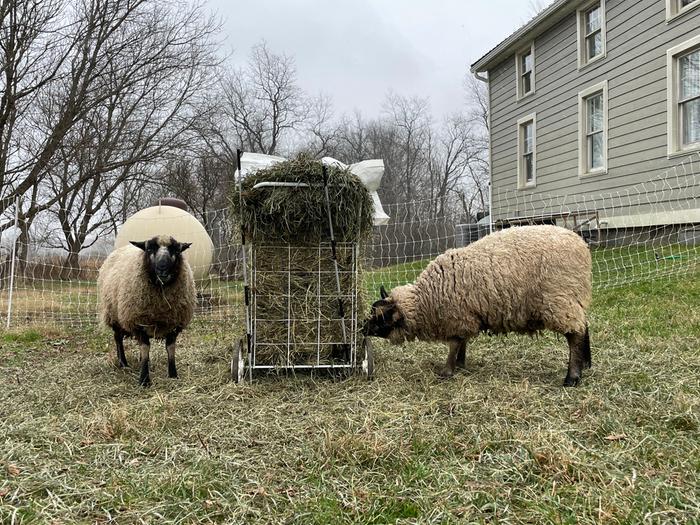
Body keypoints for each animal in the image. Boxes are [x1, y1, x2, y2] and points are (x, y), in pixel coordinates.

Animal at [97, 235, 196, 386]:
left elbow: (170, 349)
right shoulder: (138, 321)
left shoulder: (174, 323)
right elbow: (145, 348)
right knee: (118, 339)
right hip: (114, 315)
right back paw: (123, 363)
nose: (162, 269)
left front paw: (173, 375)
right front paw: (144, 380)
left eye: (176, 250)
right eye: (149, 249)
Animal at [366, 224, 592, 384]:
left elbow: (454, 343)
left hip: (560, 299)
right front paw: (460, 364)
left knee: (575, 335)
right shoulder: (466, 314)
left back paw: (572, 377)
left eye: (381, 319)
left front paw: (447, 371)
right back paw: (586, 364)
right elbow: (462, 342)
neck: (426, 298)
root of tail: (582, 246)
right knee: (584, 326)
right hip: (573, 299)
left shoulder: (457, 316)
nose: (362, 329)